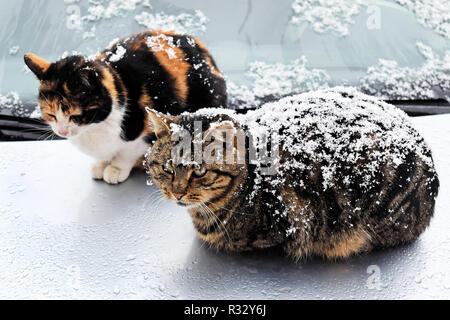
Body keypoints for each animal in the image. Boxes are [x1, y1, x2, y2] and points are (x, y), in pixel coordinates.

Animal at [23, 30, 227, 185]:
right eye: (51, 114)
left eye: (74, 115)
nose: (62, 132)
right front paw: (101, 164)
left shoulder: (146, 132)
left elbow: (127, 153)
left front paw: (115, 170)